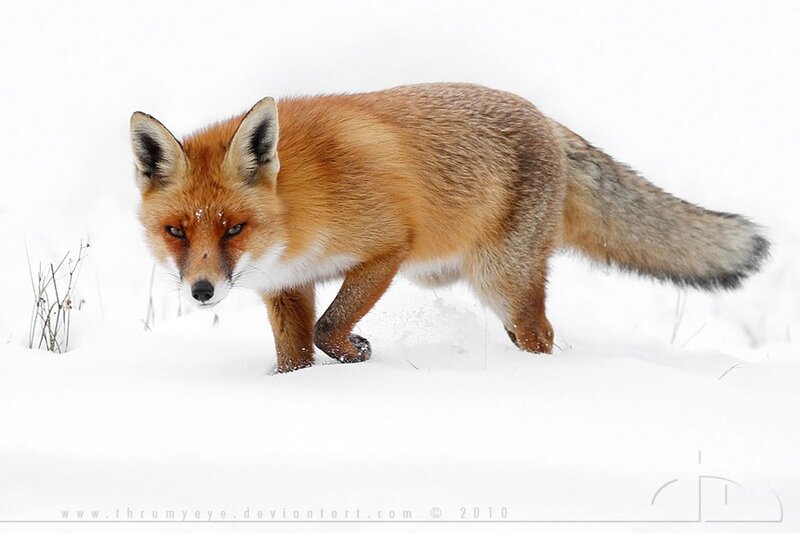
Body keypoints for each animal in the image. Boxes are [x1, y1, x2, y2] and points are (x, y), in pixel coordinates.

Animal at [130, 83, 769, 373]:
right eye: (178, 232)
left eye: (233, 229)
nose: (202, 291)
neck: (297, 212)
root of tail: (546, 118)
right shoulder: (288, 286)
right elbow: (296, 354)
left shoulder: (386, 250)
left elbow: (330, 327)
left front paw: (356, 354)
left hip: (500, 280)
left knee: (541, 334)